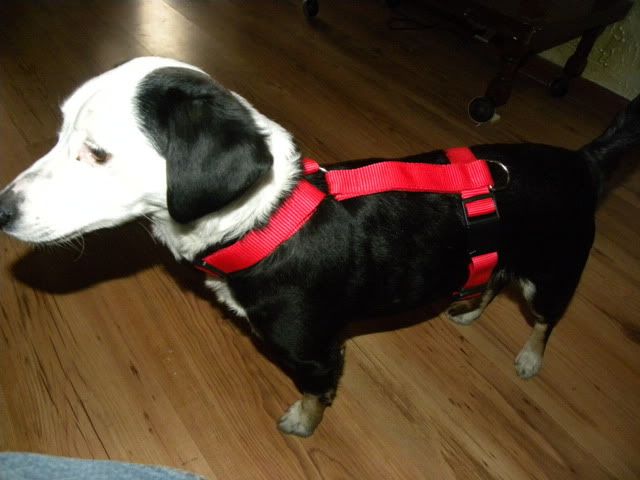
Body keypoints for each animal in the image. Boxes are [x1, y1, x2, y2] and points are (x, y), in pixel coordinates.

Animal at [0, 57, 638, 437]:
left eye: (97, 154)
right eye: (60, 132)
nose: (2, 209)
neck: (263, 220)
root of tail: (583, 162)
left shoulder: (314, 352)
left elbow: (314, 393)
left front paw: (302, 423)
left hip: (553, 272)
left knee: (544, 319)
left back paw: (530, 356)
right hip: (505, 255)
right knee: (494, 275)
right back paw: (470, 306)